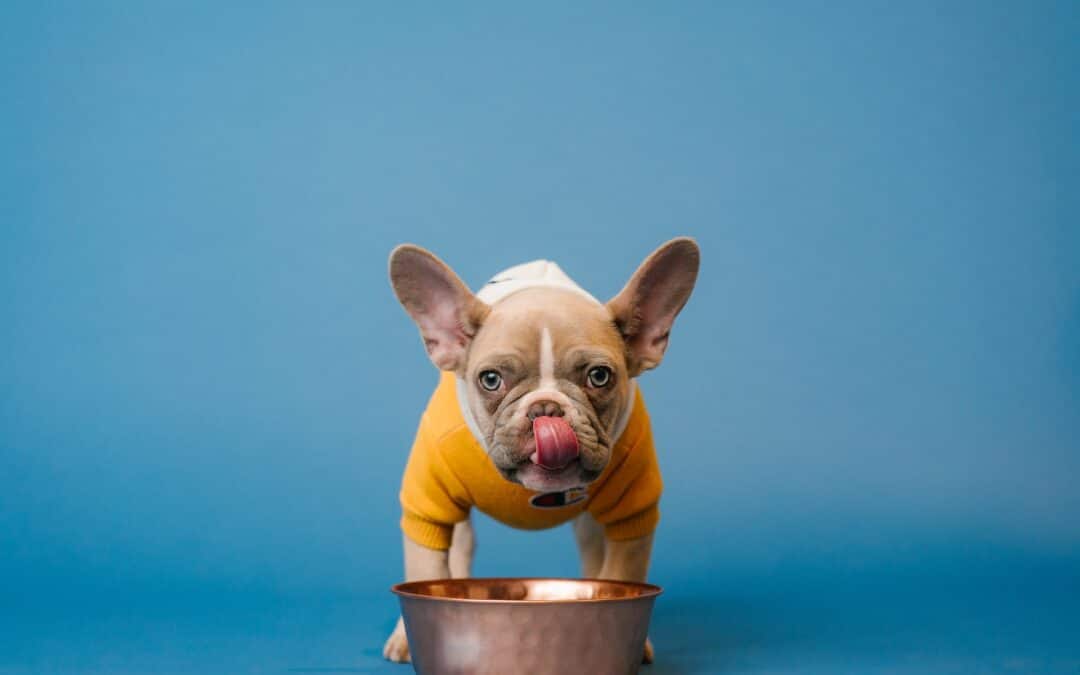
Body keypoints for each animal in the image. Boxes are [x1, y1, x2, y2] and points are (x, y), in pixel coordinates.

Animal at [384, 236, 695, 665]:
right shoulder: (428, 507)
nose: (545, 408)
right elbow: (423, 567)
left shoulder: (633, 514)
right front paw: (406, 636)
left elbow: (623, 571)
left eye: (599, 376)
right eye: (491, 380)